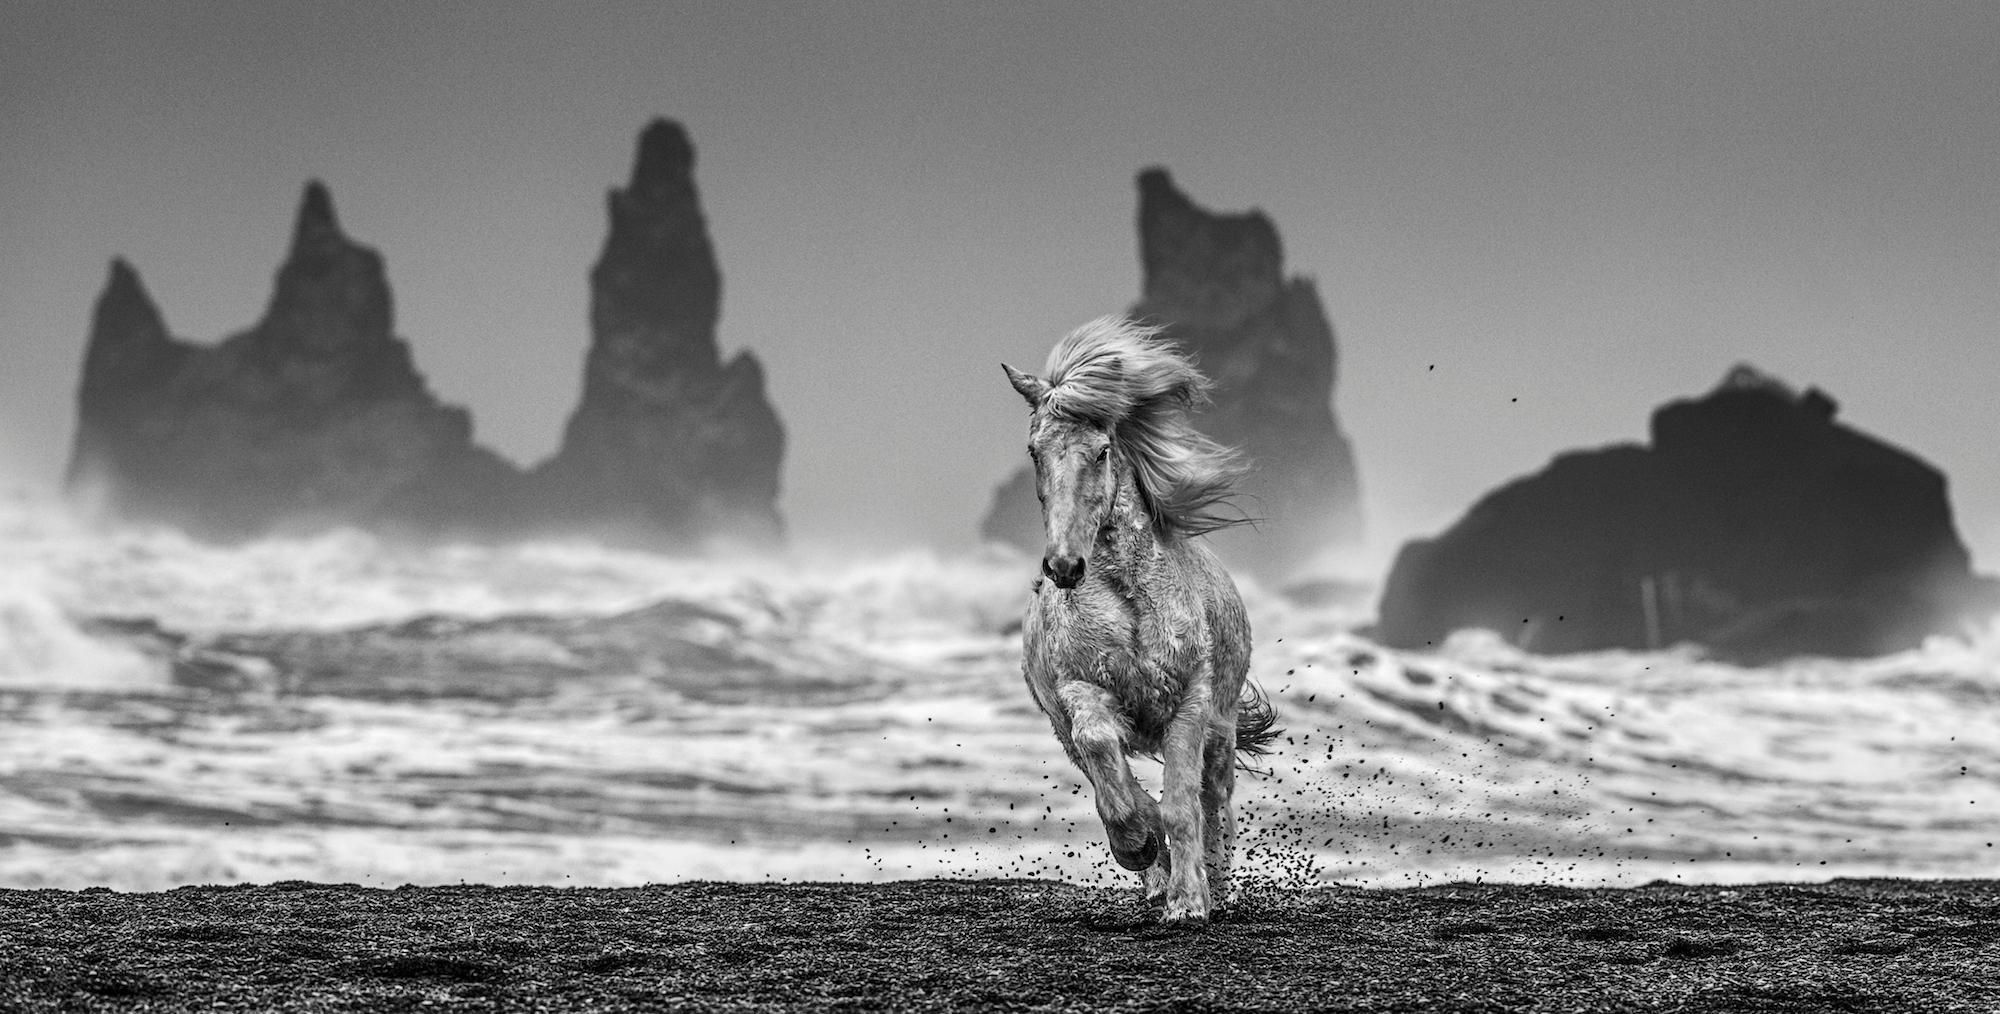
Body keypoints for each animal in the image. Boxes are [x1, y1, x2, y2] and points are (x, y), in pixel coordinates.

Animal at [1000, 318, 1280, 928]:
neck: (1129, 602)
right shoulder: (1081, 694)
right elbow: (1116, 780)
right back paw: (1155, 876)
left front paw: (1190, 901)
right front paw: (1141, 846)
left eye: (1103, 451)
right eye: (1034, 451)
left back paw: (1215, 883)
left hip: (1221, 728)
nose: (1064, 566)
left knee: (1214, 799)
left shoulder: (1190, 703)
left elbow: (1181, 805)